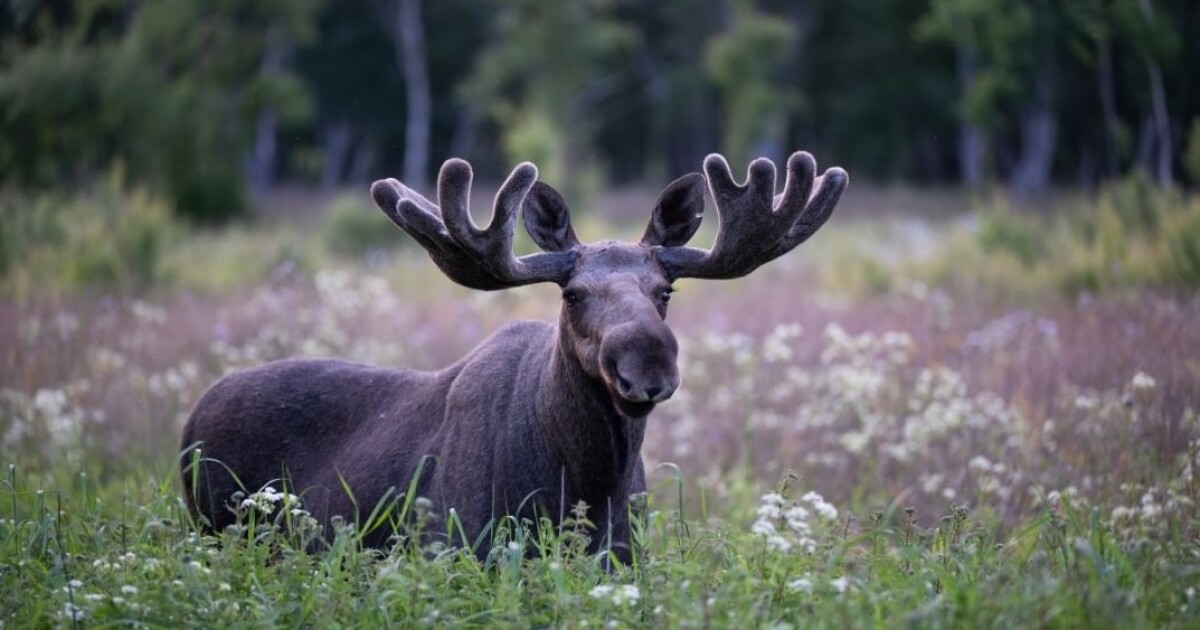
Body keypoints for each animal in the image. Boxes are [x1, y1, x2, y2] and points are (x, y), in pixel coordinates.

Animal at [180, 151, 848, 563]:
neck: (586, 486)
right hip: (214, 528)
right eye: (572, 293)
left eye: (665, 291)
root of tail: (189, 422)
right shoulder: (453, 549)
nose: (648, 367)